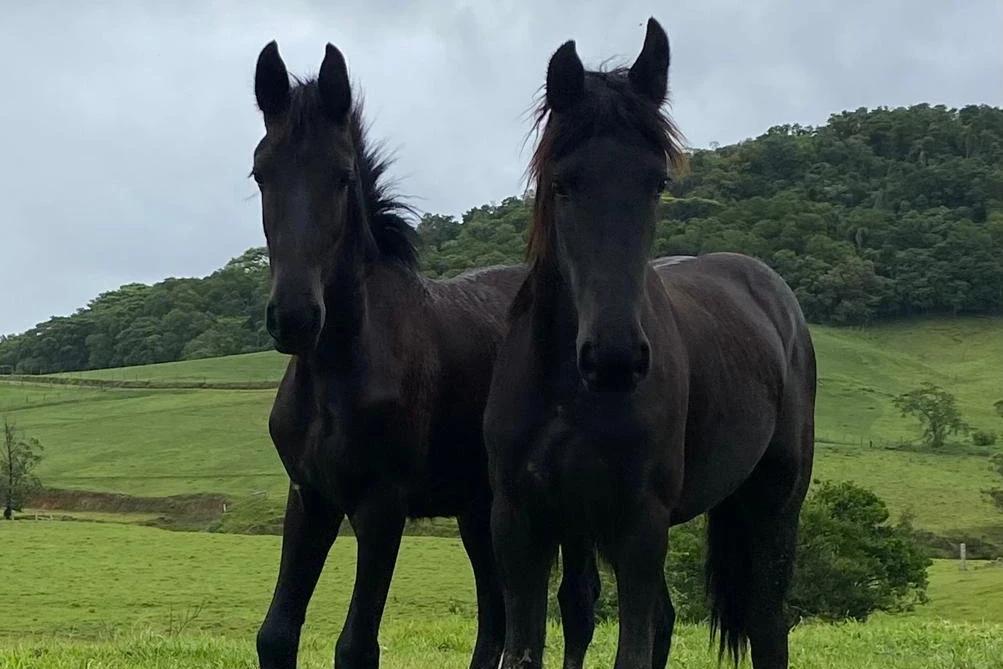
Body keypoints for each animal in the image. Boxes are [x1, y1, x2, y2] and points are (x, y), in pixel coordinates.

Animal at [249, 41, 530, 669]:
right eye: (260, 173)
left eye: (343, 176)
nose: (295, 317)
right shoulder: (310, 499)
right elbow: (275, 634)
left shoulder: (382, 506)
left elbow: (356, 646)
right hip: (478, 510)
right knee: (497, 622)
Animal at [484, 18, 816, 669]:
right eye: (562, 184)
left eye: (657, 182)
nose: (614, 359)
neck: (566, 391)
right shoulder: (521, 524)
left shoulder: (638, 527)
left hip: (774, 505)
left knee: (768, 623)